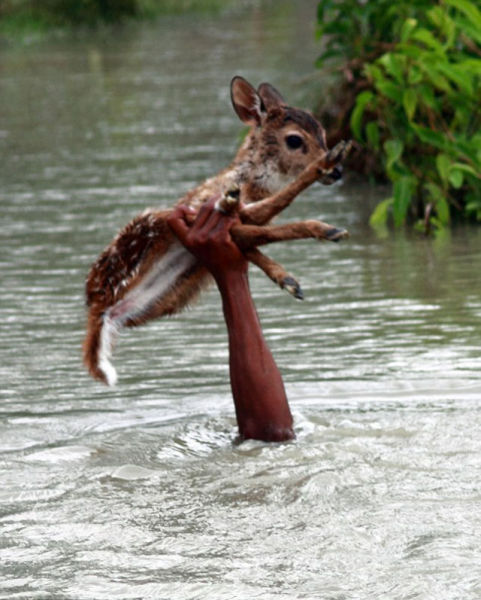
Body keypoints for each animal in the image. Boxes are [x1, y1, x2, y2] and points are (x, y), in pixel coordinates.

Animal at [84, 76, 350, 384]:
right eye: (294, 139)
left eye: (322, 132)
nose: (337, 171)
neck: (250, 183)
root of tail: (98, 307)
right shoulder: (204, 210)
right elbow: (263, 223)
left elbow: (256, 238)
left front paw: (288, 279)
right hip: (150, 226)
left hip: (175, 293)